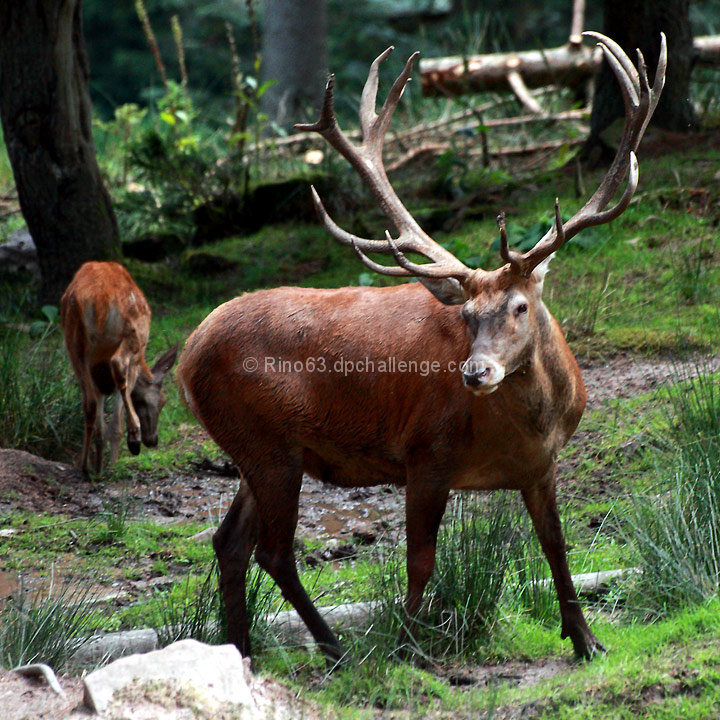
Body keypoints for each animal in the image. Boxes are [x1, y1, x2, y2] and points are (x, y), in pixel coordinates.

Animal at [62, 262, 177, 476]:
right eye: (162, 401)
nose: (153, 440)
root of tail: (96, 299)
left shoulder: (96, 373)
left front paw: (99, 464)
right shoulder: (135, 357)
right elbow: (118, 415)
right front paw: (115, 460)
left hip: (75, 347)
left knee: (88, 403)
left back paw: (86, 466)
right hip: (132, 332)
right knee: (118, 365)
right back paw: (133, 437)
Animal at [177, 33, 668, 664]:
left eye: (520, 307)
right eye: (465, 315)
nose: (476, 374)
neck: (531, 425)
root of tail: (185, 357)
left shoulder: (542, 465)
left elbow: (557, 548)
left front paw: (586, 640)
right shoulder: (424, 454)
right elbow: (421, 563)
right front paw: (405, 647)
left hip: (254, 452)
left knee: (229, 543)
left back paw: (243, 649)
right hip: (268, 444)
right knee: (274, 551)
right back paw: (335, 648)